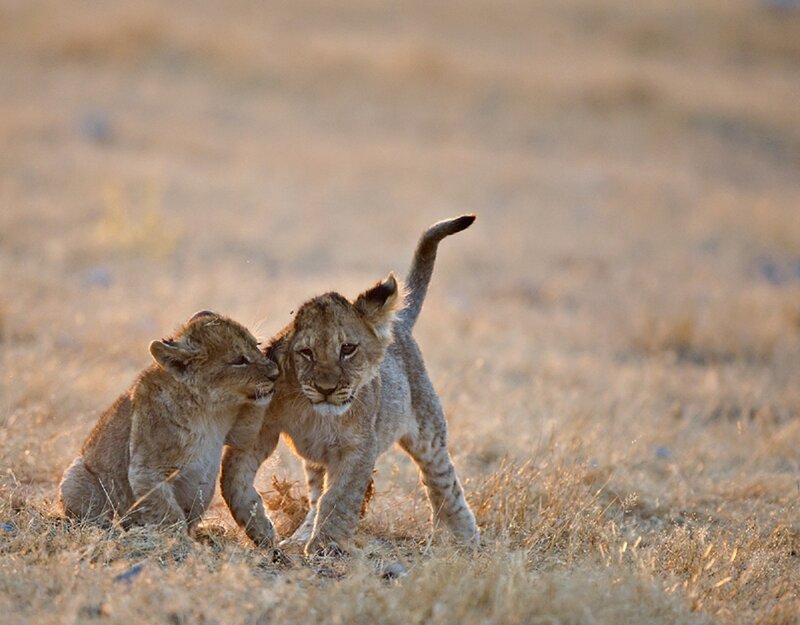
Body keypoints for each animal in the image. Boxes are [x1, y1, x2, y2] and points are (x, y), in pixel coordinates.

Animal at [59, 310, 279, 532]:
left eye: (257, 344)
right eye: (239, 360)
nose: (275, 374)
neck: (207, 409)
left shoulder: (239, 432)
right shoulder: (147, 471)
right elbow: (168, 514)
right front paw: (179, 541)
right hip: (77, 476)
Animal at [221, 215, 480, 554]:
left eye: (348, 349)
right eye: (306, 353)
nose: (326, 389)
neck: (313, 412)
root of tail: (398, 323)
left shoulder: (359, 448)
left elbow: (339, 499)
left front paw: (324, 548)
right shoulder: (260, 429)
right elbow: (232, 481)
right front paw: (261, 529)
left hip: (428, 431)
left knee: (444, 481)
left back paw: (468, 539)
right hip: (318, 458)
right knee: (315, 492)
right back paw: (301, 534)